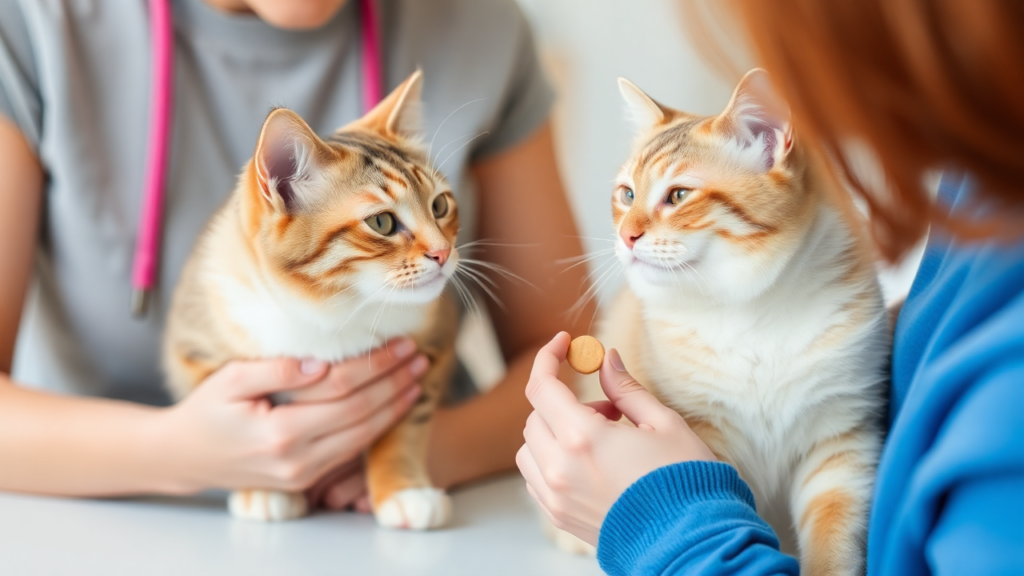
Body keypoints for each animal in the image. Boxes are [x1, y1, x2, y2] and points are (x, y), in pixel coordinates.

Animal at [565, 69, 892, 569]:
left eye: (679, 195)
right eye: (627, 195)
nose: (625, 236)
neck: (749, 310)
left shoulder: (839, 441)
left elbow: (834, 540)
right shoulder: (706, 436)